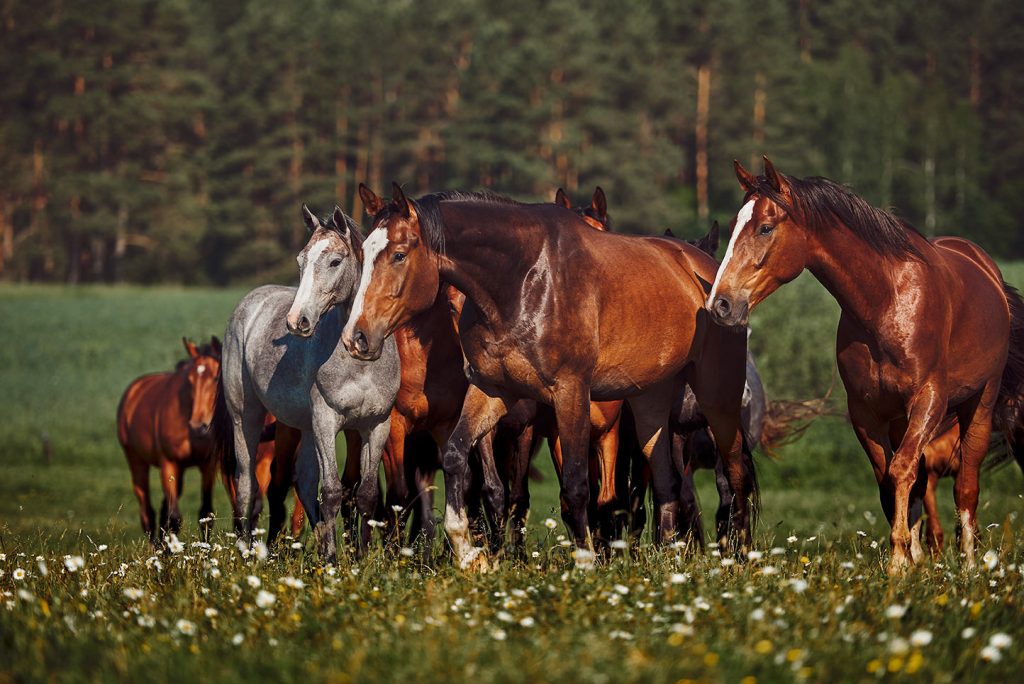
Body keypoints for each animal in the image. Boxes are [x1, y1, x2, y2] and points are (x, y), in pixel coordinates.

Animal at [117, 337, 222, 545]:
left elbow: (205, 515)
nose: (198, 426)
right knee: (148, 514)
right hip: (137, 463)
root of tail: (133, 391)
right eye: (189, 379)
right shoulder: (169, 463)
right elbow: (173, 518)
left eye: (216, 377)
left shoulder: (208, 465)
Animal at [217, 205, 399, 561]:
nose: (297, 321)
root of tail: (249, 304)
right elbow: (331, 491)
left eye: (335, 261)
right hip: (246, 417)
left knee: (303, 482)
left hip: (305, 427)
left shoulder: (375, 425)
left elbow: (367, 494)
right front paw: (331, 560)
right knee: (246, 484)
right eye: (301, 260)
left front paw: (361, 558)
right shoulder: (327, 421)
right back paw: (247, 553)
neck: (359, 361)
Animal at [343, 183, 749, 570]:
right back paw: (670, 560)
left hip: (718, 399)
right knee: (667, 482)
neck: (523, 281)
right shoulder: (491, 390)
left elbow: (576, 486)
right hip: (651, 401)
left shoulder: (571, 394)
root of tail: (708, 272)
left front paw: (586, 564)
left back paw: (741, 558)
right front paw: (471, 555)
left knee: (735, 472)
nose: (356, 337)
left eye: (398, 254)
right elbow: (458, 458)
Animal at [707, 156, 1024, 573]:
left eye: (765, 227)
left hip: (979, 405)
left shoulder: (930, 400)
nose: (720, 304)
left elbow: (902, 470)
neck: (886, 301)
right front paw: (907, 559)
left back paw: (971, 563)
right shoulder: (865, 412)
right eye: (732, 227)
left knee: (966, 485)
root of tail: (991, 276)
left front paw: (897, 563)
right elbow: (888, 478)